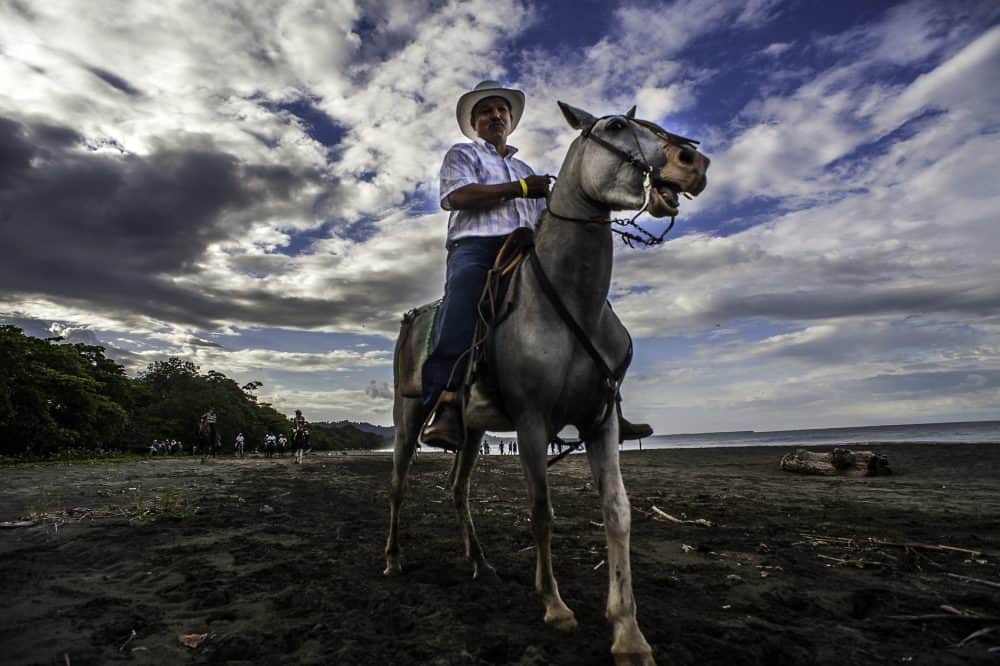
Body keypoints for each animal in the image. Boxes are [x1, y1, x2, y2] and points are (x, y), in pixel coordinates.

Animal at [386, 101, 708, 660]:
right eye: (616, 127)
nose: (694, 162)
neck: (571, 297)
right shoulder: (532, 421)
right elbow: (542, 511)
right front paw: (555, 606)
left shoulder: (601, 423)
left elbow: (618, 512)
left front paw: (627, 631)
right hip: (407, 416)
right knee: (397, 485)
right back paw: (392, 557)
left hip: (471, 430)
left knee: (458, 489)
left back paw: (481, 564)